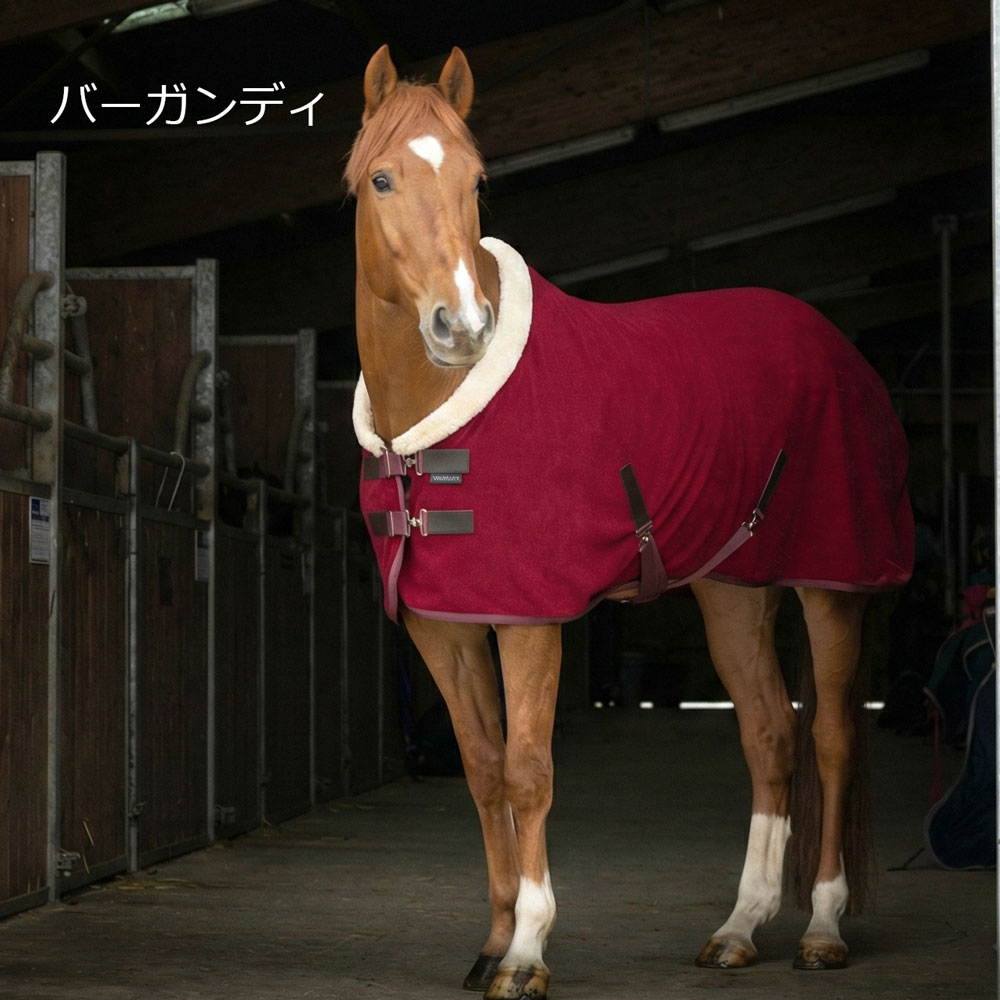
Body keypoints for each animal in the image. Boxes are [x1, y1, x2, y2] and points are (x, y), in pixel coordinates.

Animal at [345, 45, 914, 1000]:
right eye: (382, 178)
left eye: (476, 181)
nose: (462, 327)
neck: (429, 430)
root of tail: (834, 345)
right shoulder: (443, 627)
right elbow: (482, 767)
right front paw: (494, 940)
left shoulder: (529, 619)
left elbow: (529, 771)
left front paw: (528, 952)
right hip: (733, 588)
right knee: (768, 732)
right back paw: (739, 929)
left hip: (831, 584)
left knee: (832, 737)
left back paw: (823, 929)